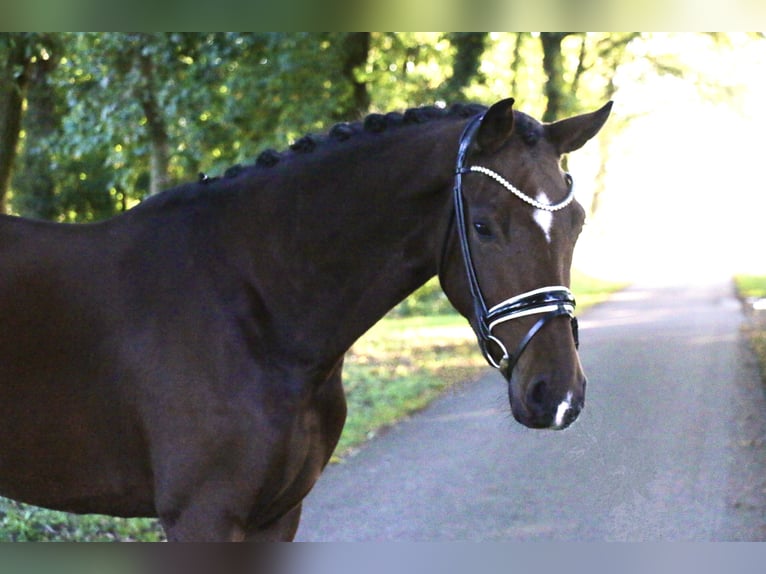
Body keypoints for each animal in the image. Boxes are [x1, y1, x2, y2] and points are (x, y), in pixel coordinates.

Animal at [0, 97, 612, 544]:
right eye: (483, 226)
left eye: (578, 223)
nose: (558, 394)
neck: (255, 308)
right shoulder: (202, 516)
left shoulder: (278, 515)